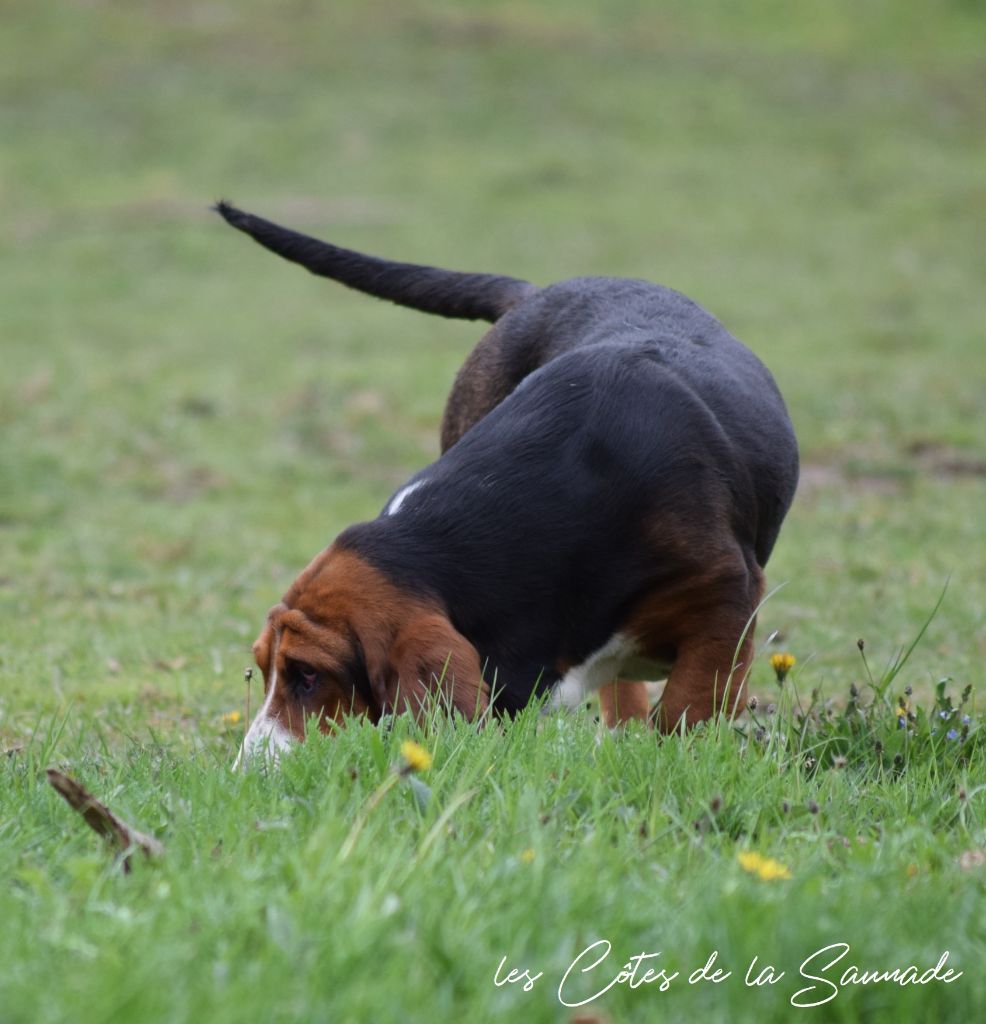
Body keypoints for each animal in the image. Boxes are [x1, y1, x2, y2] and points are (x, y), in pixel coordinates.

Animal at [218, 201, 802, 761]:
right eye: (265, 668)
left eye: (309, 675)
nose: (249, 773)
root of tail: (536, 294)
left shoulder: (728, 600)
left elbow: (687, 711)